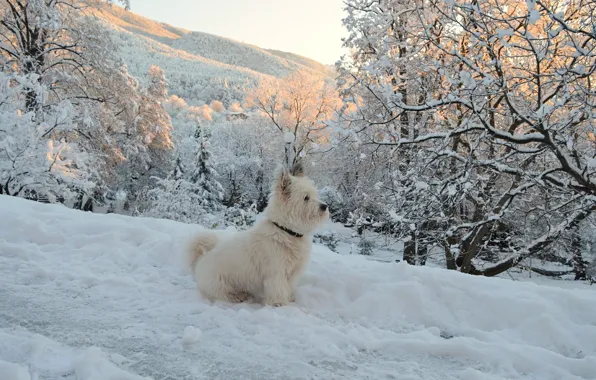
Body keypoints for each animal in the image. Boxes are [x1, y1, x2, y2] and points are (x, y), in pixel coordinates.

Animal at [185, 160, 328, 306]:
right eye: (306, 198)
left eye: (315, 195)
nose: (325, 206)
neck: (285, 230)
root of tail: (200, 261)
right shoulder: (276, 272)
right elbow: (278, 289)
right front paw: (279, 303)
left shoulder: (292, 273)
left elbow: (288, 286)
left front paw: (289, 297)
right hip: (219, 284)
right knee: (222, 294)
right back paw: (237, 296)